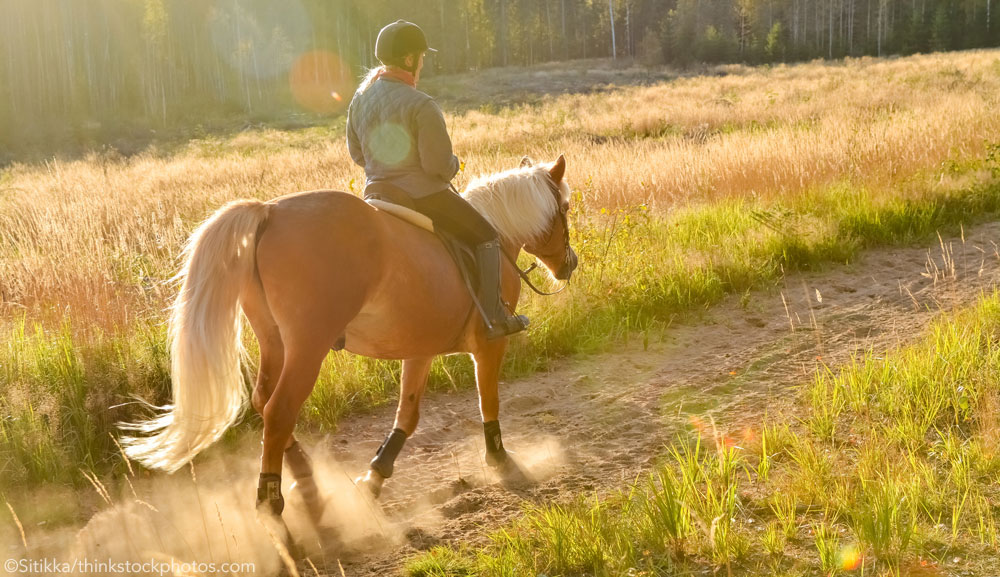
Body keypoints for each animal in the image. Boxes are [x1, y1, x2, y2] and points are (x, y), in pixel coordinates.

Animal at [122, 152, 580, 516]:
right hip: (308, 347)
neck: (497, 236)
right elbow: (489, 400)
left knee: (264, 402)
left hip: (274, 341)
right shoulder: (490, 343)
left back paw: (307, 482)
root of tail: (270, 210)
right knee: (279, 410)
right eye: (564, 208)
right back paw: (274, 505)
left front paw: (375, 477)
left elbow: (408, 415)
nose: (569, 264)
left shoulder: (419, 349)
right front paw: (500, 460)